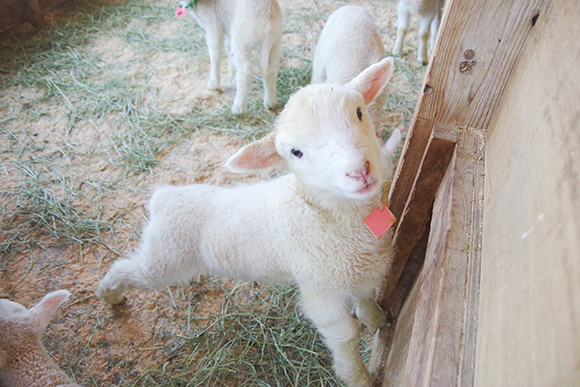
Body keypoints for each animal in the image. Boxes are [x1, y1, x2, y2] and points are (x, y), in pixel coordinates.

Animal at [97, 57, 402, 387]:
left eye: (359, 112)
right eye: (296, 152)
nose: (360, 171)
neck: (317, 211)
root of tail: (164, 197)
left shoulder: (363, 273)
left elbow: (367, 302)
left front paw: (380, 321)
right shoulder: (320, 292)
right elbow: (346, 337)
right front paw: (357, 376)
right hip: (163, 260)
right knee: (127, 268)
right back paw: (109, 293)